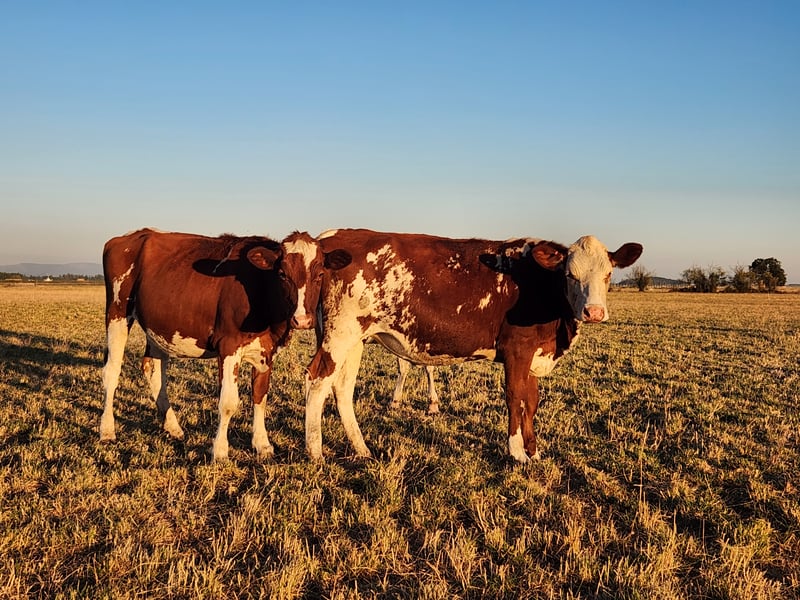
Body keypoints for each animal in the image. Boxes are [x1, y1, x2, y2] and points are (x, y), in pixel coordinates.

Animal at [99, 228, 350, 460]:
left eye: (319, 274)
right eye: (282, 274)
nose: (302, 320)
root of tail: (135, 235)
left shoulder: (266, 350)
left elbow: (260, 396)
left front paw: (262, 444)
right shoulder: (228, 346)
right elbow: (228, 401)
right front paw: (220, 450)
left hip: (160, 327)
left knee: (154, 371)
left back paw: (172, 426)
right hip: (117, 312)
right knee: (111, 371)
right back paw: (107, 430)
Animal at [305, 229, 642, 463]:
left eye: (608, 274)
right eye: (570, 275)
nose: (594, 312)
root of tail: (332, 237)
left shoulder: (533, 354)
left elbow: (531, 401)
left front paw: (534, 452)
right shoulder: (517, 351)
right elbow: (515, 397)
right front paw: (517, 452)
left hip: (355, 340)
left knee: (342, 388)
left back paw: (361, 449)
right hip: (339, 335)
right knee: (318, 381)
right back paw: (315, 452)